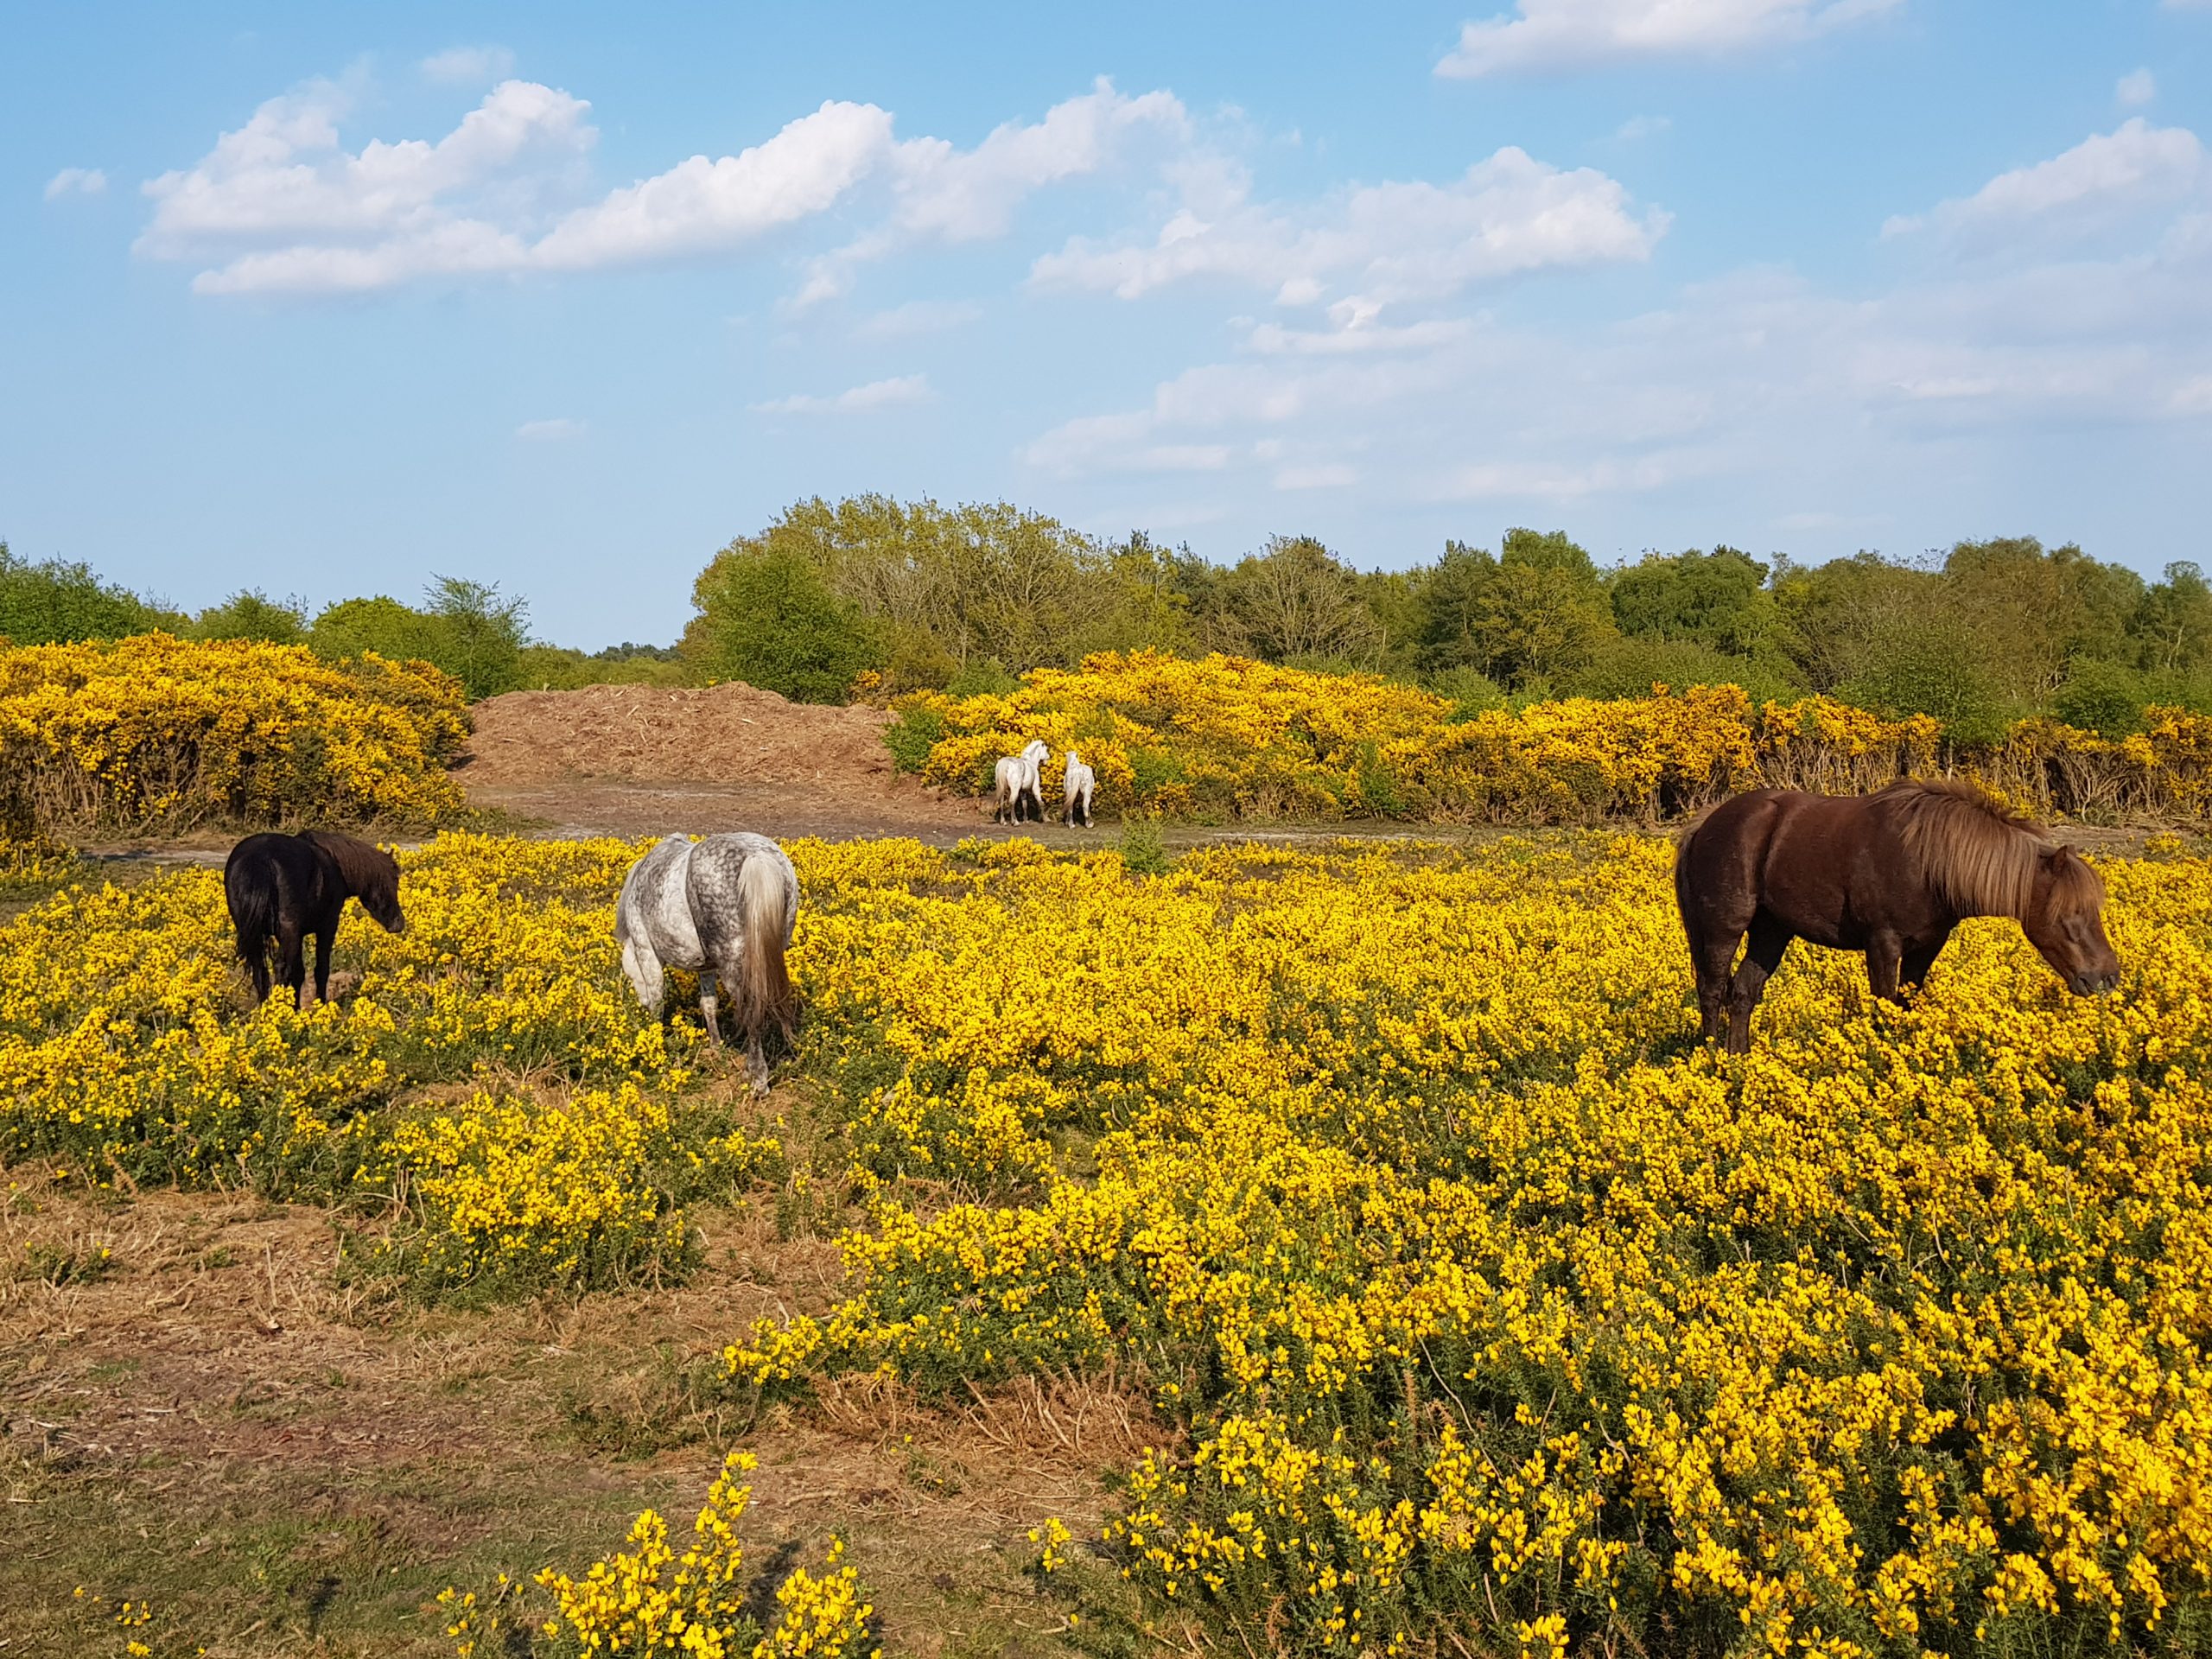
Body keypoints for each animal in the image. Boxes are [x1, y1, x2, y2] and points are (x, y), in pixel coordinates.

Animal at [228, 831, 411, 1013]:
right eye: (395, 879)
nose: (398, 923)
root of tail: (261, 859)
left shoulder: (296, 935)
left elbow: (299, 972)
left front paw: (297, 1007)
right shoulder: (327, 927)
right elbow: (321, 969)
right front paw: (320, 1005)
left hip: (257, 935)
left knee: (260, 970)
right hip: (289, 932)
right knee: (280, 967)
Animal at [614, 827, 804, 1092]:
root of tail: (756, 857)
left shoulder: (645, 950)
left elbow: (657, 999)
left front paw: (655, 1042)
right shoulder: (707, 967)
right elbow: (709, 1003)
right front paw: (715, 1046)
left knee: (751, 1011)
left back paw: (757, 1078)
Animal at [1672, 779, 2123, 1052]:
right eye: (2070, 913)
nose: (2106, 978)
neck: (1927, 862)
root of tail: (1707, 823)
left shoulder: (1926, 947)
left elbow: (1905, 1004)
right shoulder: (1883, 943)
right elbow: (1884, 1006)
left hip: (1772, 931)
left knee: (1743, 993)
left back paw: (1740, 1061)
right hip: (1724, 927)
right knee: (1713, 990)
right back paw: (1712, 1061)